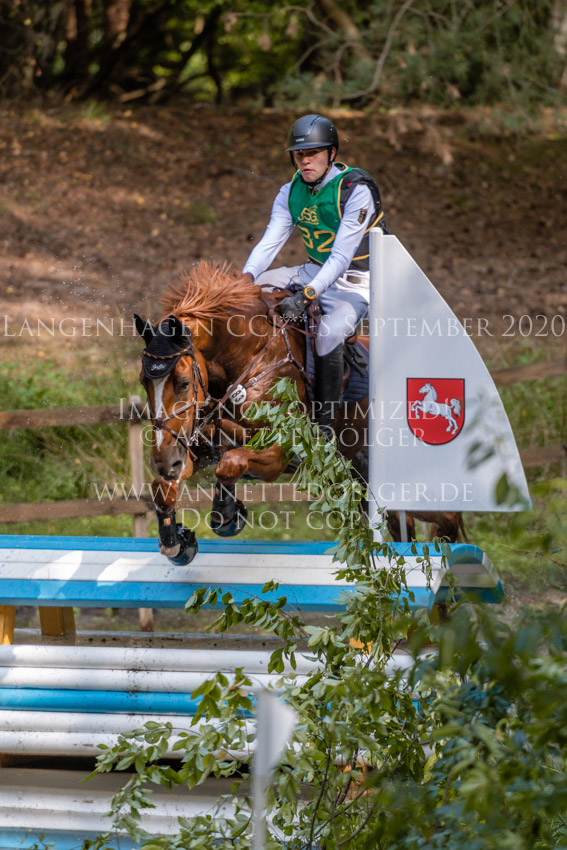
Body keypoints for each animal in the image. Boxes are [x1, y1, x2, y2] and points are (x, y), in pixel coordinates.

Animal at [134, 261, 464, 565]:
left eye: (183, 382)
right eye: (143, 382)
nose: (164, 461)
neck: (251, 357)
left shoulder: (279, 452)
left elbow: (231, 462)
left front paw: (227, 516)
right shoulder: (196, 444)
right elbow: (164, 487)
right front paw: (177, 542)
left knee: (445, 516)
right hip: (361, 480)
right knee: (401, 521)